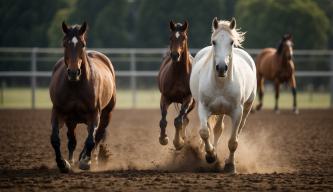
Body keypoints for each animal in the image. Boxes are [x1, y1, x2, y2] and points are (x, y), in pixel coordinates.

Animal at [48, 21, 116, 173]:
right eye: (64, 44)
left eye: (82, 44)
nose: (74, 72)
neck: (75, 86)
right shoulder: (58, 112)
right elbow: (55, 139)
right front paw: (63, 164)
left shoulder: (94, 114)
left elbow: (91, 139)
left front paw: (85, 161)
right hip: (71, 120)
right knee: (72, 140)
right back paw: (73, 160)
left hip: (106, 114)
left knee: (97, 135)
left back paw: (89, 158)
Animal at [158, 21, 195, 150]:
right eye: (171, 37)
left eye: (184, 38)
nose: (175, 55)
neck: (179, 74)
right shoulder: (165, 97)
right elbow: (163, 120)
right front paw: (163, 138)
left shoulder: (188, 98)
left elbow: (178, 121)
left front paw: (178, 142)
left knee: (184, 119)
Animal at [188, 17, 255, 174]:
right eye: (214, 42)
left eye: (231, 42)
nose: (221, 68)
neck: (221, 84)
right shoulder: (203, 108)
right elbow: (204, 132)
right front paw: (210, 155)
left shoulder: (237, 112)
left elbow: (233, 142)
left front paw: (230, 165)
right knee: (215, 129)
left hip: (246, 108)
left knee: (236, 130)